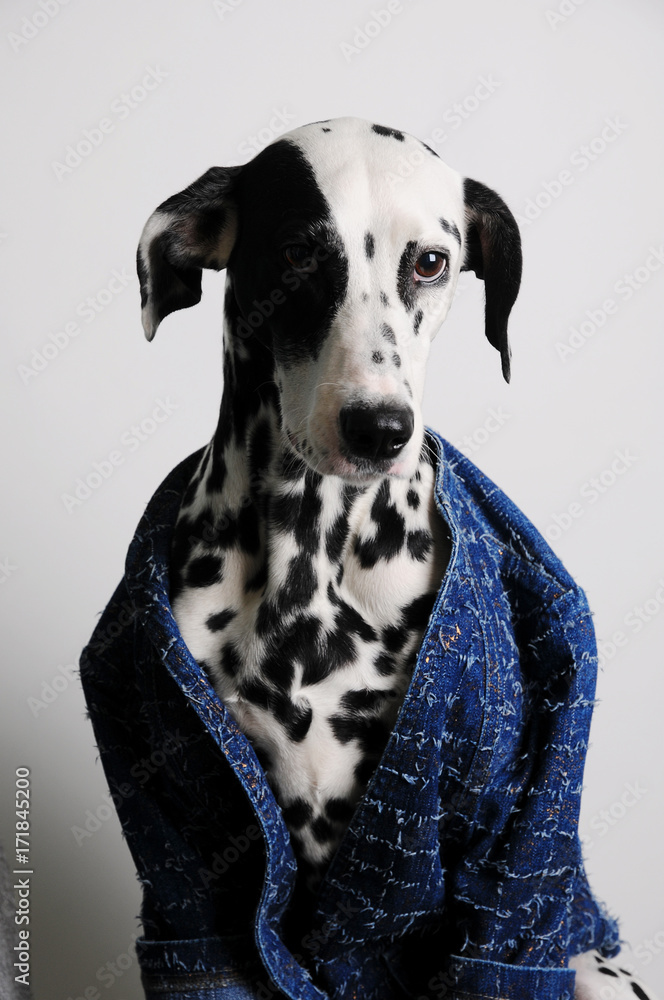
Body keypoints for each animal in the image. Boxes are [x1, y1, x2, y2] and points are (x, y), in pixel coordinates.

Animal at [137, 113, 656, 996]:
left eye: (432, 261)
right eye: (298, 253)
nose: (378, 426)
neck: (310, 557)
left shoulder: (498, 851)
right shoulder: (189, 845)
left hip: (591, 969)